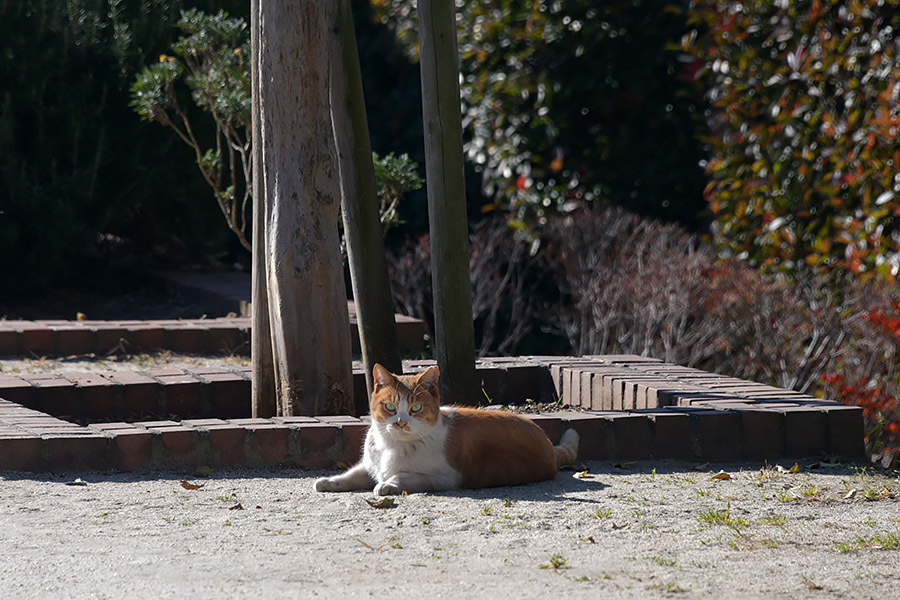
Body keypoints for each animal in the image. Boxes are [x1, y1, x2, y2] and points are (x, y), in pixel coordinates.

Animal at [312, 360, 580, 496]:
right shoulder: (370, 466)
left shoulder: (446, 477)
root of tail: (548, 443)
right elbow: (350, 475)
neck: (393, 446)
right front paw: (328, 481)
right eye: (389, 406)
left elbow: (403, 475)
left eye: (416, 408)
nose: (400, 422)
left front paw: (387, 484)